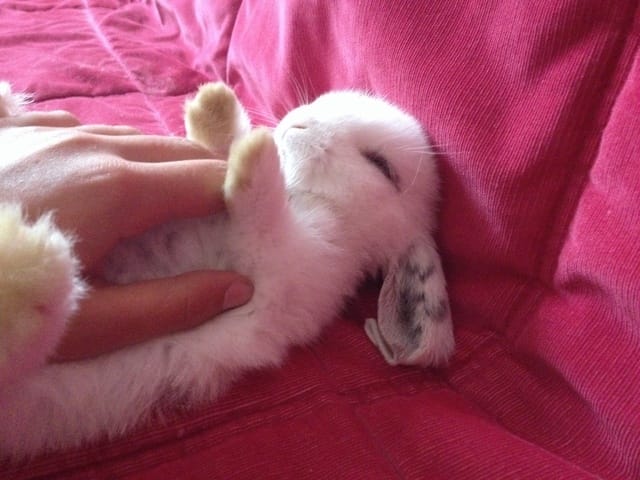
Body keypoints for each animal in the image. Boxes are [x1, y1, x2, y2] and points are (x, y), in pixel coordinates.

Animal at [0, 81, 454, 459]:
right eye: (326, 99)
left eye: (381, 164)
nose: (297, 122)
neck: (314, 201)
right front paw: (216, 108)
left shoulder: (272, 283)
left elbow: (262, 217)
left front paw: (254, 151)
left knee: (35, 327)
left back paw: (28, 258)